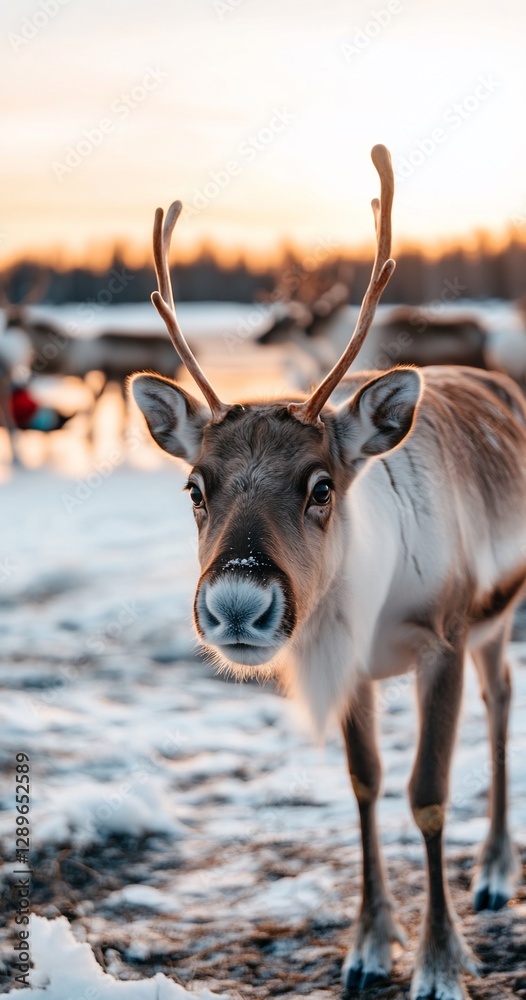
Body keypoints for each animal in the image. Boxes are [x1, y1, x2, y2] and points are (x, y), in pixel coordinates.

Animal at [130, 145, 525, 1000]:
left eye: (321, 486)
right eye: (195, 488)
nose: (237, 602)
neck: (371, 606)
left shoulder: (442, 641)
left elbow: (428, 796)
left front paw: (439, 961)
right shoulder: (351, 665)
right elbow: (365, 783)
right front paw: (369, 945)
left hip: (496, 617)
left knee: (502, 702)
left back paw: (494, 873)